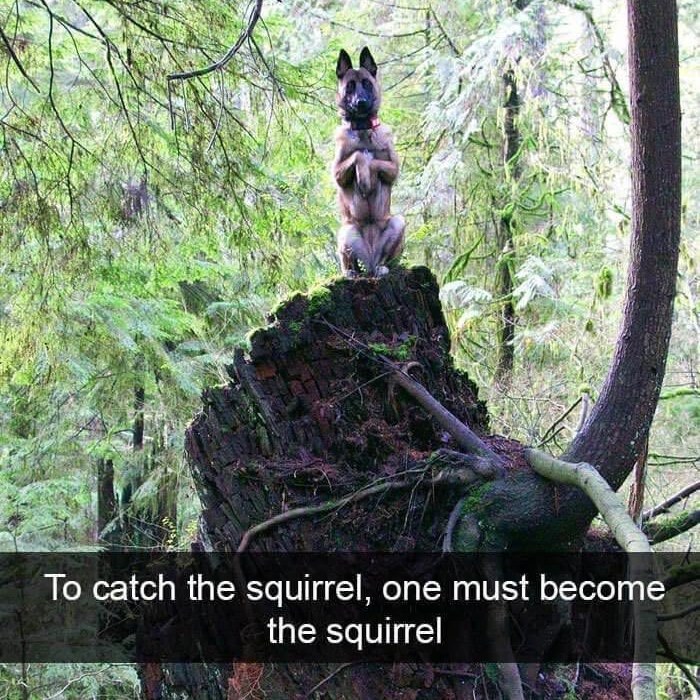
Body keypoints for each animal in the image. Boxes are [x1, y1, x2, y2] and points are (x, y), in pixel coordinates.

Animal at [332, 45, 404, 276]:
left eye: (366, 83)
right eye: (350, 87)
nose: (361, 102)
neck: (363, 128)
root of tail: (370, 260)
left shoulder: (393, 169)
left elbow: (374, 161)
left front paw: (367, 176)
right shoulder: (337, 173)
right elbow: (358, 155)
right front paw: (363, 176)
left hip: (398, 222)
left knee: (385, 260)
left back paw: (382, 267)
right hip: (346, 230)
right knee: (350, 262)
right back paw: (351, 272)